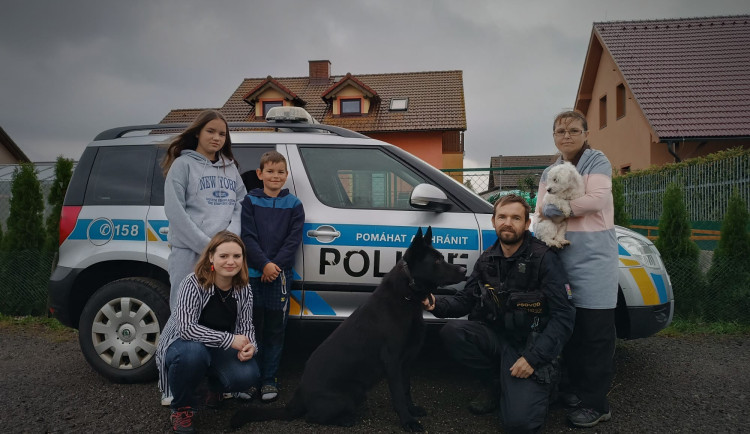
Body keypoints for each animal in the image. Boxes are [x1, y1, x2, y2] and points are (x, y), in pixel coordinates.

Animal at [232, 227, 468, 430]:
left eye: (442, 256)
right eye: (437, 260)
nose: (464, 268)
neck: (407, 295)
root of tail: (299, 394)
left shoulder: (406, 361)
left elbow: (407, 389)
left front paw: (412, 411)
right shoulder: (392, 361)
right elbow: (399, 394)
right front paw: (407, 421)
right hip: (351, 394)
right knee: (311, 417)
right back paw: (345, 419)